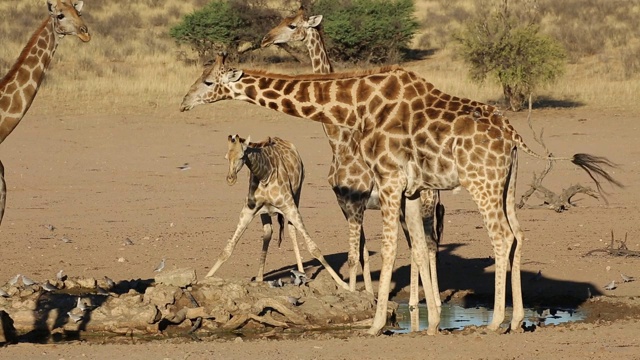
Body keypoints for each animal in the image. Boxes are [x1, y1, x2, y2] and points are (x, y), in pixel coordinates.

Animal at [209, 134, 350, 292]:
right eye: (226, 157)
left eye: (241, 156)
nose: (230, 178)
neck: (264, 175)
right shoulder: (248, 210)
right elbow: (227, 249)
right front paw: (206, 278)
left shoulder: (289, 206)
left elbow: (314, 248)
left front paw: (344, 284)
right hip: (265, 212)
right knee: (268, 232)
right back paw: (260, 278)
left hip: (297, 195)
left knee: (291, 229)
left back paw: (301, 273)